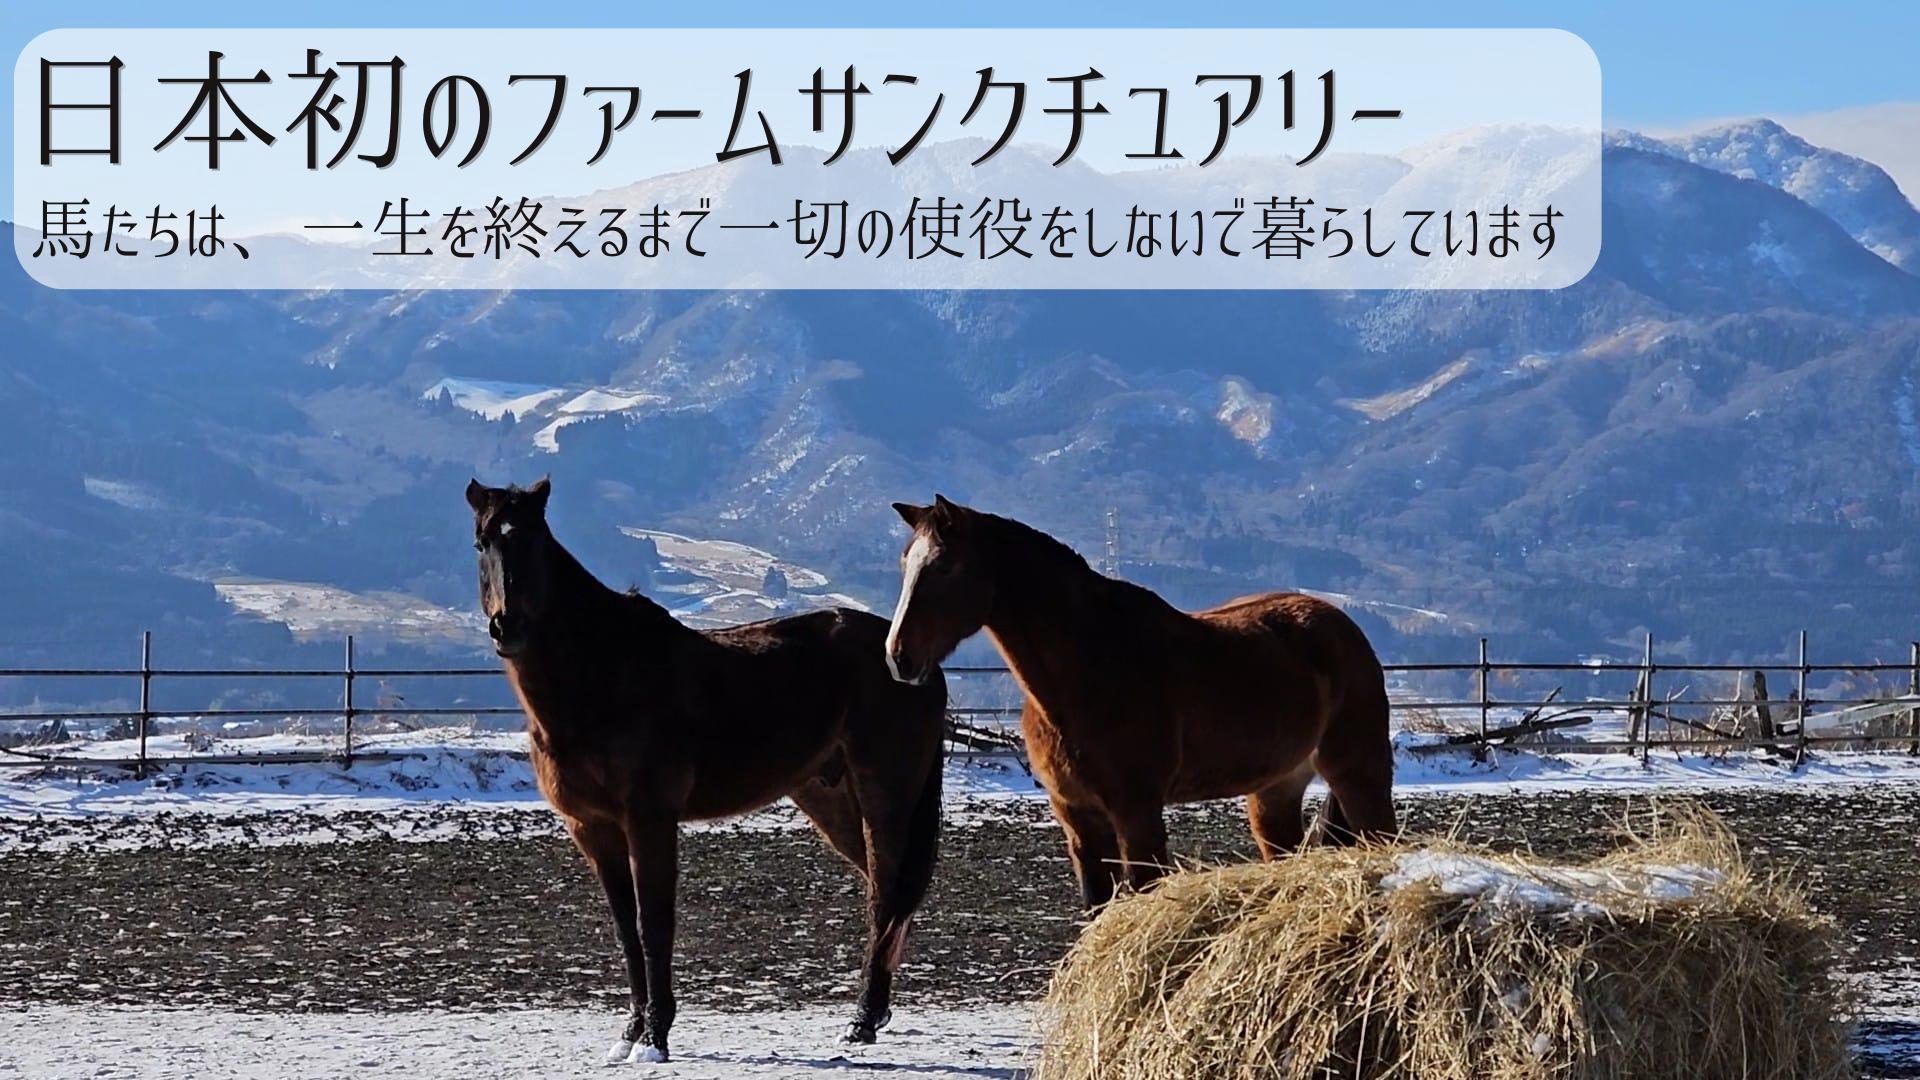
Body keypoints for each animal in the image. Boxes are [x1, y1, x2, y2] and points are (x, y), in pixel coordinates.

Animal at [467, 478, 947, 1063]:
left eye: (533, 541)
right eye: (482, 542)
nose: (506, 626)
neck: (603, 673)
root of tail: (911, 662)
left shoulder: (649, 819)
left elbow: (654, 924)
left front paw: (655, 1037)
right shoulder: (593, 828)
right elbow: (625, 927)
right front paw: (629, 1033)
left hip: (885, 796)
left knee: (886, 896)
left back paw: (859, 1022)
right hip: (832, 799)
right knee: (888, 892)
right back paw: (873, 1014)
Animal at [883, 495, 1395, 909]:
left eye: (943, 567)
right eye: (906, 564)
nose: (898, 657)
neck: (1090, 667)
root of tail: (1340, 626)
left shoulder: (1137, 811)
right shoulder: (1079, 819)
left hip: (1359, 775)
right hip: (1276, 790)